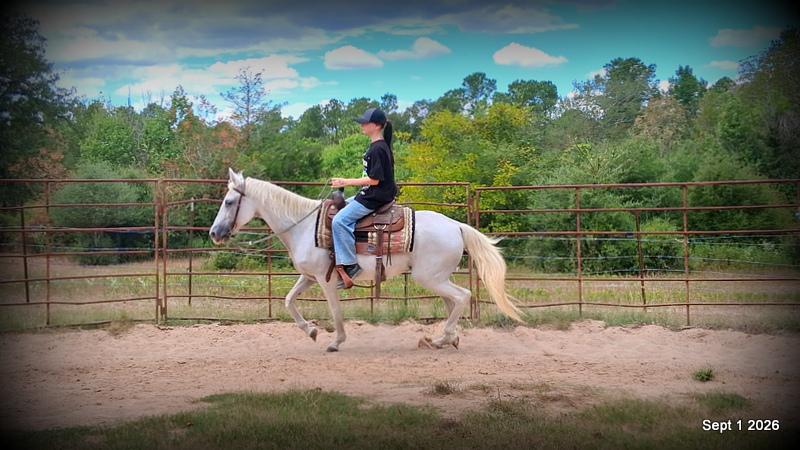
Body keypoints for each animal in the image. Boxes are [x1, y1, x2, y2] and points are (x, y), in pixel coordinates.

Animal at [209, 168, 523, 352]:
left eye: (228, 202)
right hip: (438, 277)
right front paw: (311, 330)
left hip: (429, 277)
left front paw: (336, 341)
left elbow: (335, 312)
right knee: (453, 300)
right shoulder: (308, 277)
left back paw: (441, 337)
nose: (214, 233)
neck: (303, 226)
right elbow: (288, 300)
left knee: (462, 296)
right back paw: (444, 339)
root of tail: (457, 226)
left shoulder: (326, 281)